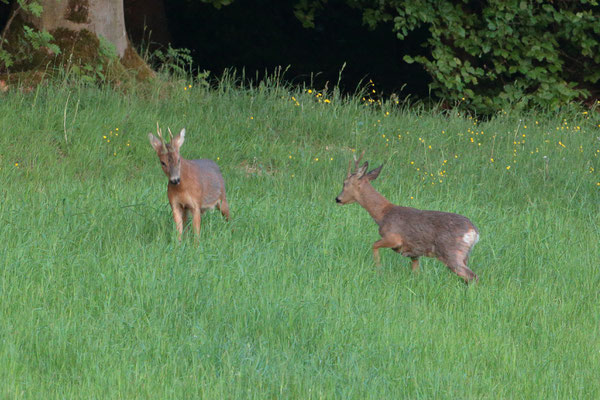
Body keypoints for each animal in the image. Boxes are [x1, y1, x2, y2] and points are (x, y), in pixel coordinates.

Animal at [336, 152, 480, 282]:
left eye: (345, 182)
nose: (338, 199)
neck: (382, 214)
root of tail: (474, 232)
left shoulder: (394, 238)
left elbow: (374, 245)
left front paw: (378, 269)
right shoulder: (414, 254)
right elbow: (415, 273)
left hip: (451, 252)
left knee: (473, 276)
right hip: (464, 256)